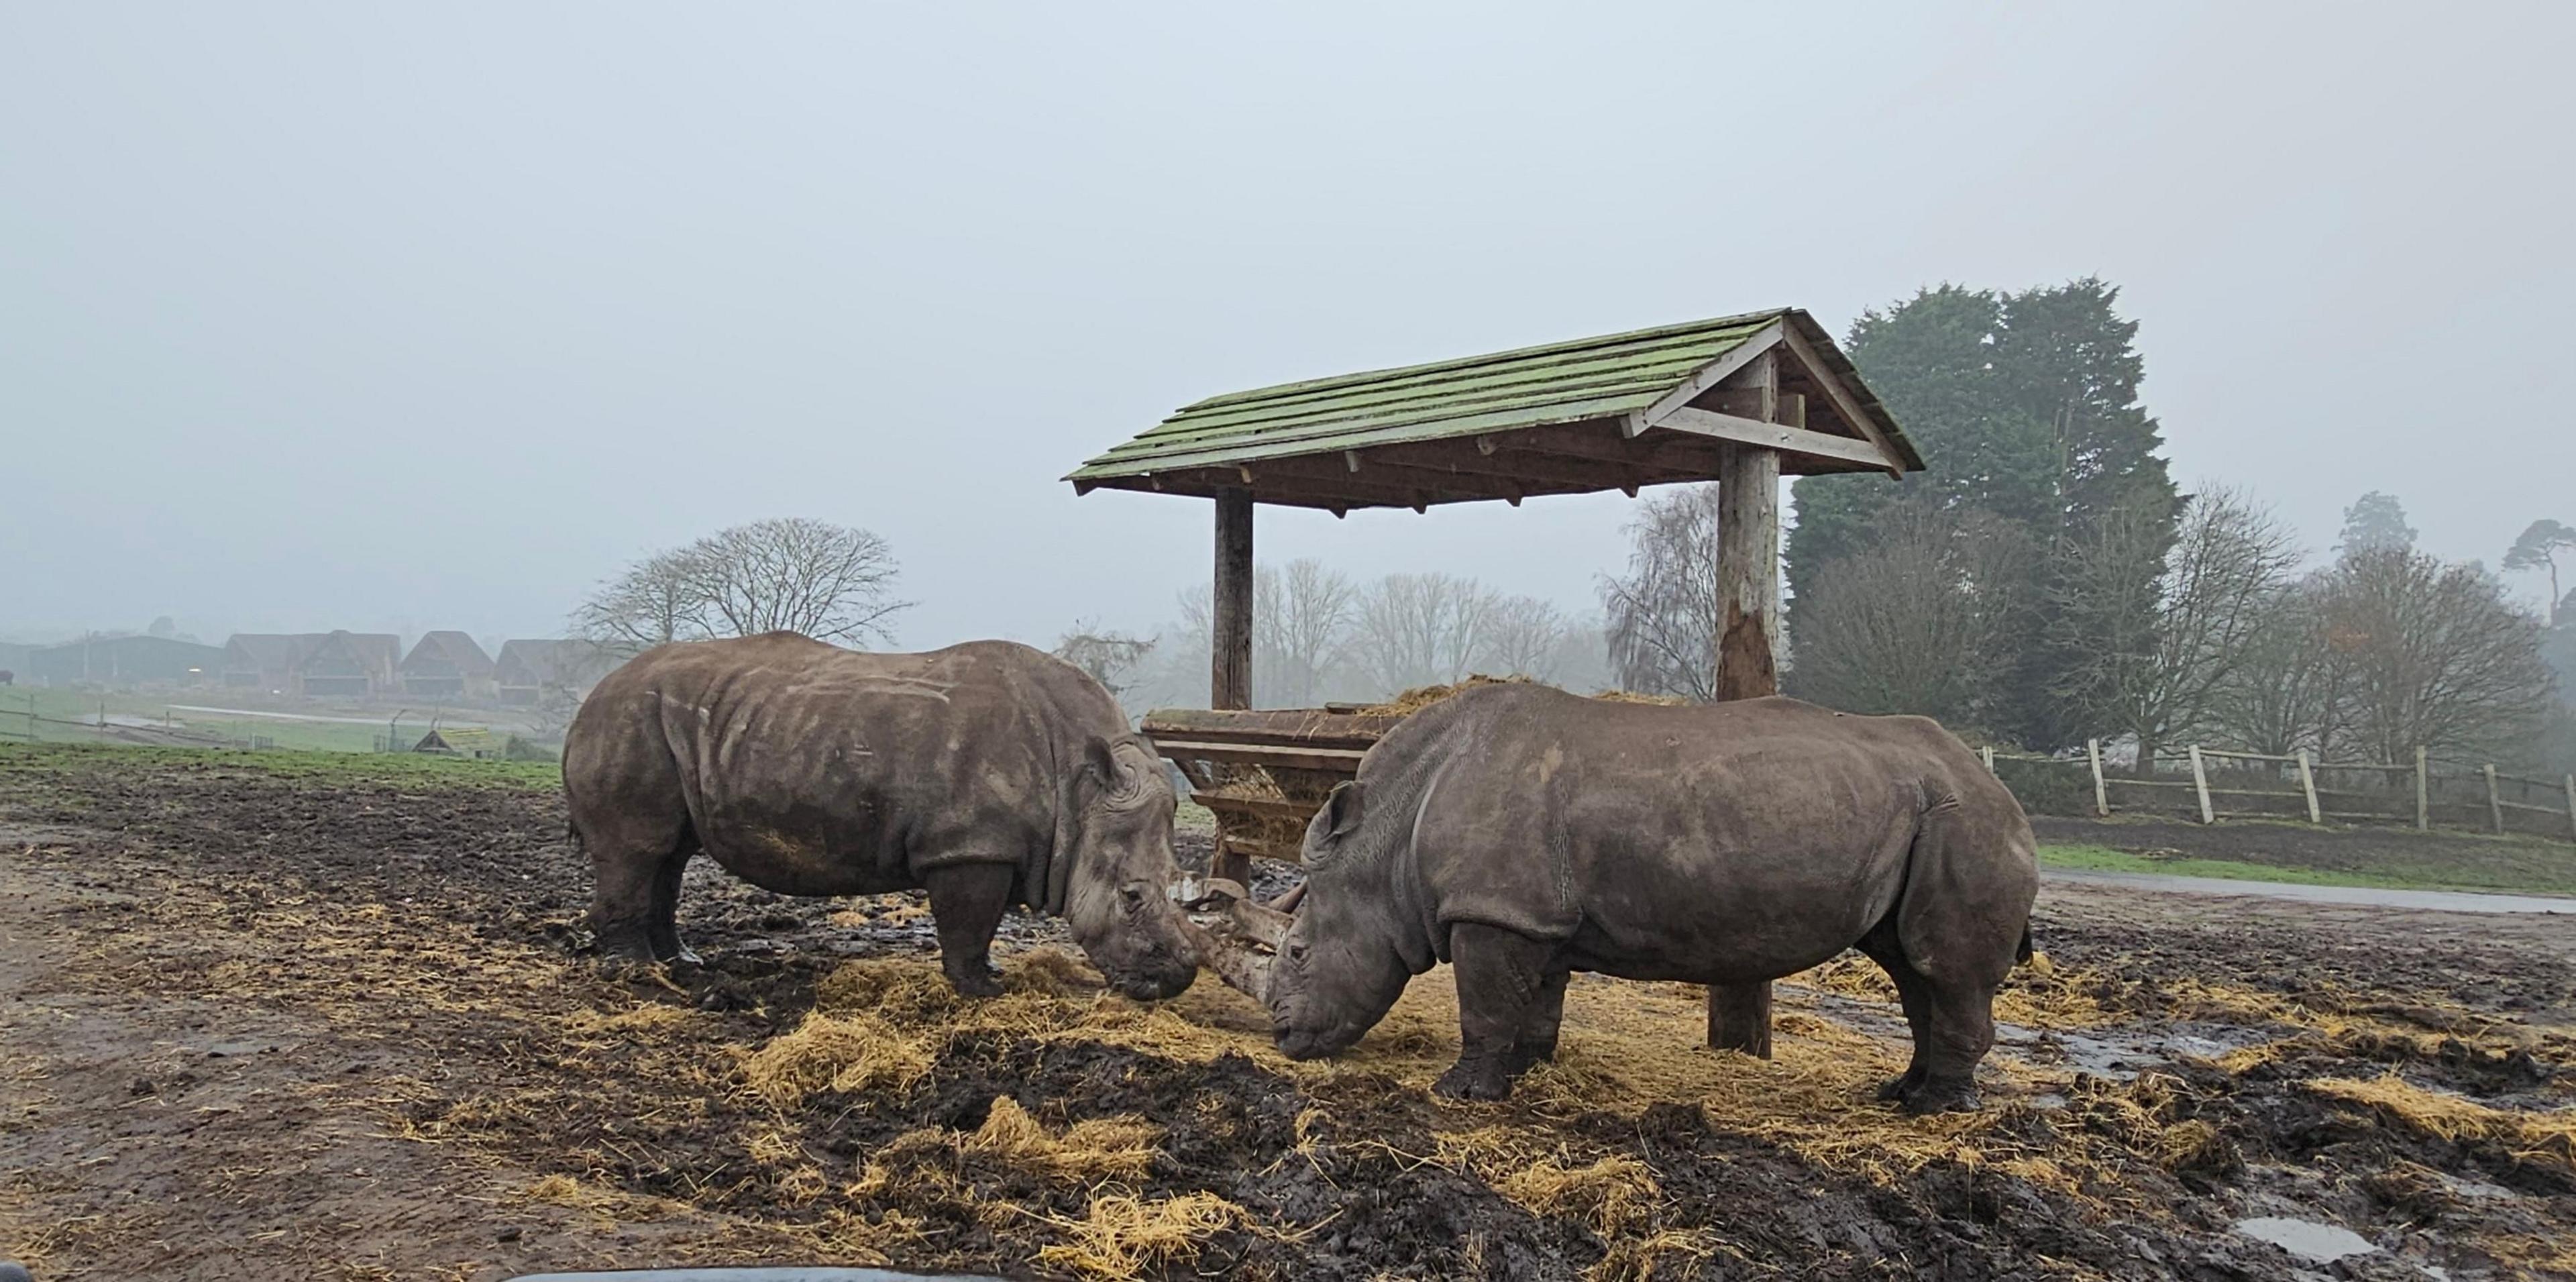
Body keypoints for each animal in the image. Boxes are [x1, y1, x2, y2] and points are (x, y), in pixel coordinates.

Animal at [561, 631, 1195, 1004]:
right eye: (1132, 896)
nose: (1177, 980)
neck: (1082, 792)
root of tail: (587, 700)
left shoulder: (991, 844)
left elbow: (983, 925)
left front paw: (993, 977)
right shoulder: (969, 844)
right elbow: (970, 922)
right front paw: (980, 991)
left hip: (668, 725)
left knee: (669, 855)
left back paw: (681, 961)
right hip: (629, 719)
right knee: (639, 850)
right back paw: (638, 972)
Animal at [1216, 680, 2040, 1112]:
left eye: (1298, 952)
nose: (1284, 1037)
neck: (1386, 842)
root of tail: (2001, 788)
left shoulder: (1492, 910)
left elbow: (1484, 1004)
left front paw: (1460, 1093)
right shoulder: (1532, 913)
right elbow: (1536, 1003)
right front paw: (1527, 1073)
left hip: (1964, 820)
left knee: (1942, 965)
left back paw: (1936, 1108)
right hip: (1927, 811)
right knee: (1909, 962)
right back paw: (1899, 1093)